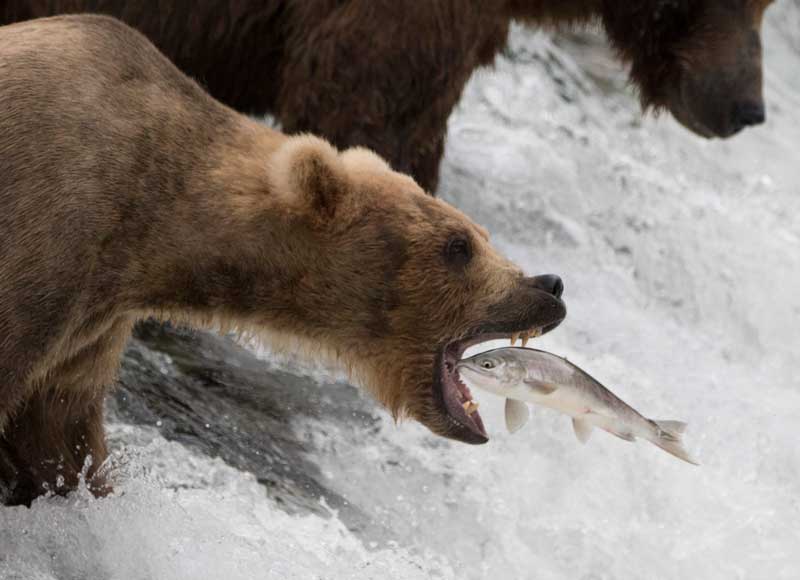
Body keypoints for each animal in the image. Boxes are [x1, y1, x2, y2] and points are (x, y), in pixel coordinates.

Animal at [0, 15, 568, 506]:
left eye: (481, 235)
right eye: (458, 245)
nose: (550, 285)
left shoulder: (90, 326)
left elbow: (59, 436)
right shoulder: (52, 236)